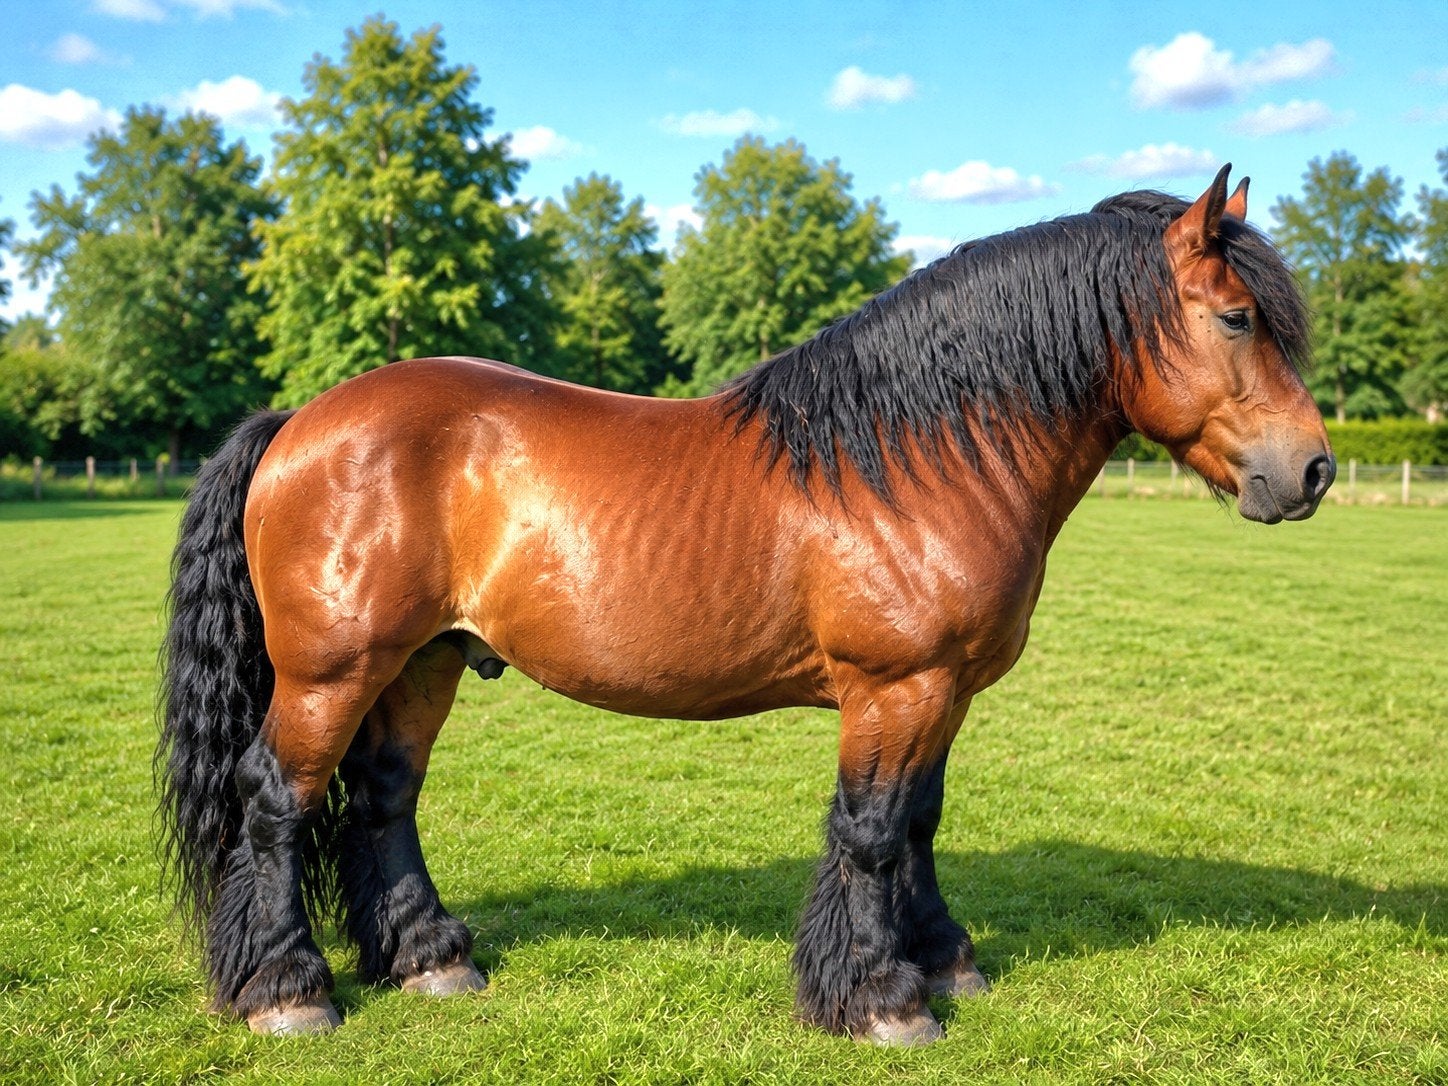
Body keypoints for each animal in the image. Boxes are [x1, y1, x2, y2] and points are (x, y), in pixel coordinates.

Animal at [157, 166, 1333, 1044]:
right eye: (1237, 318)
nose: (1313, 471)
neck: (916, 454)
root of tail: (301, 420)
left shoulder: (944, 691)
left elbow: (920, 824)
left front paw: (943, 961)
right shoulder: (895, 690)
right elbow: (871, 833)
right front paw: (882, 999)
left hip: (422, 662)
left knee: (384, 799)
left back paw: (430, 960)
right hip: (333, 672)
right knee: (278, 801)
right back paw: (289, 991)